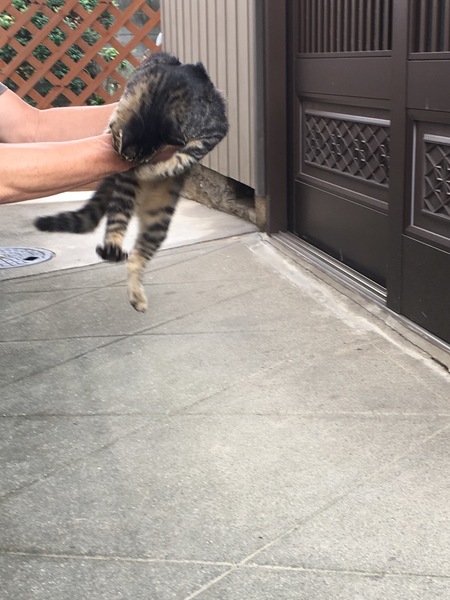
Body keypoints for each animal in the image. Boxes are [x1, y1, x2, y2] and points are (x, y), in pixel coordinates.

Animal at [34, 52, 228, 312]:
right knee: (117, 224)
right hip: (125, 195)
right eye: (129, 159)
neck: (165, 90)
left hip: (158, 220)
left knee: (137, 257)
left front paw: (155, 169)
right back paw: (113, 247)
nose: (134, 169)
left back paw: (137, 296)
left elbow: (184, 156)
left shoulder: (213, 130)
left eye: (147, 158)